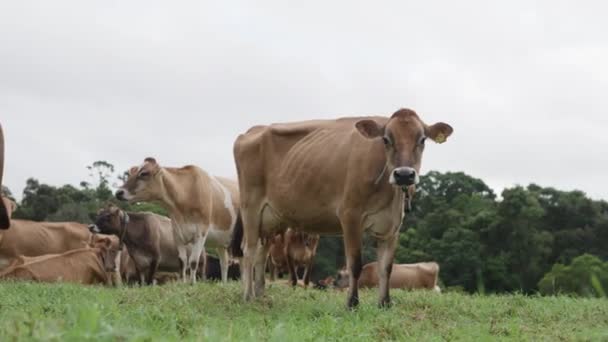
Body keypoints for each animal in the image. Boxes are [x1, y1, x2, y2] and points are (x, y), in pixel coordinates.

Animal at [233, 108, 452, 308]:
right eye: (386, 139)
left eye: (422, 139)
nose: (404, 174)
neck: (390, 197)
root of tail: (251, 130)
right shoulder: (350, 216)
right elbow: (354, 263)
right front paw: (352, 303)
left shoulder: (392, 226)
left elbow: (386, 267)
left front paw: (384, 303)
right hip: (251, 207)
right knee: (249, 251)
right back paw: (247, 296)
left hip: (269, 220)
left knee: (262, 254)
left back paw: (260, 295)